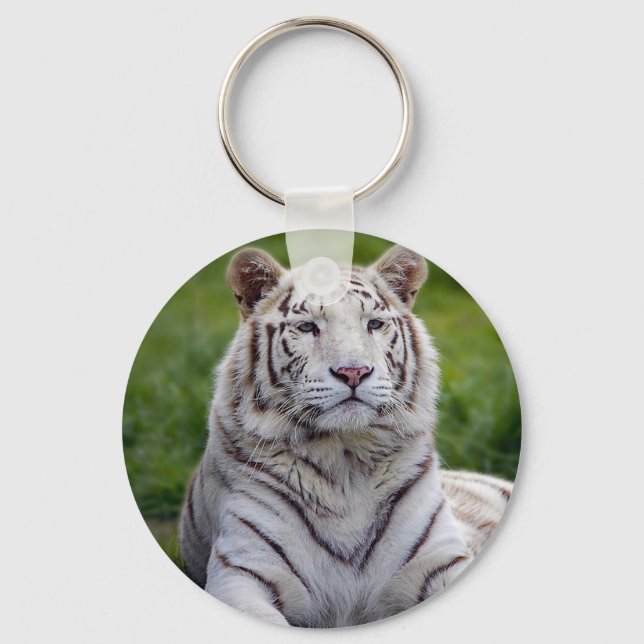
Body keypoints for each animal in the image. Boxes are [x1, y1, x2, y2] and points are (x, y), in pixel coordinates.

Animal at [179, 244, 513, 627]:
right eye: (308, 326)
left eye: (374, 324)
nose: (354, 372)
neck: (345, 460)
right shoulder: (244, 570)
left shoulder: (439, 559)